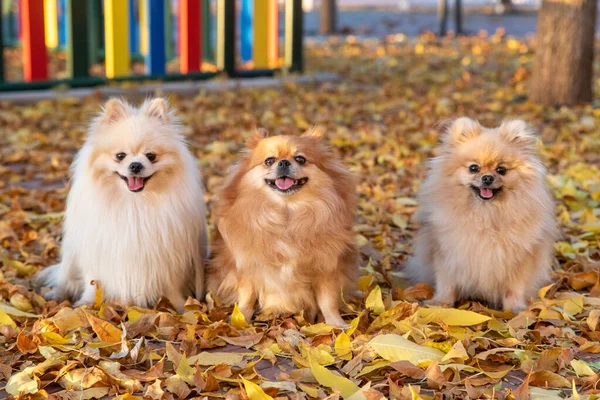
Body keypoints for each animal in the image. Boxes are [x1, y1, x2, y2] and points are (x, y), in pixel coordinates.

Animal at [35, 97, 209, 310]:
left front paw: (180, 306)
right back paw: (56, 294)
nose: (135, 165)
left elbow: (171, 286)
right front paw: (87, 304)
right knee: (65, 278)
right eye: (120, 156)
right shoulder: (98, 251)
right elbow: (93, 282)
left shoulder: (168, 256)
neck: (134, 203)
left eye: (151, 156)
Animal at [207, 130, 356, 326]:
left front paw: (335, 323)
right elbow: (247, 296)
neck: (286, 212)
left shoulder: (326, 267)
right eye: (269, 160)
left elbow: (328, 300)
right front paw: (240, 320)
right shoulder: (248, 265)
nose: (284, 162)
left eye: (300, 159)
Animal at [408, 119, 556, 312]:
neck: (485, 215)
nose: (487, 178)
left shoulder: (519, 259)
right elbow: (446, 282)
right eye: (474, 168)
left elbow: (514, 288)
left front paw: (514, 309)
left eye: (501, 170)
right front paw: (441, 303)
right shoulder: (448, 252)